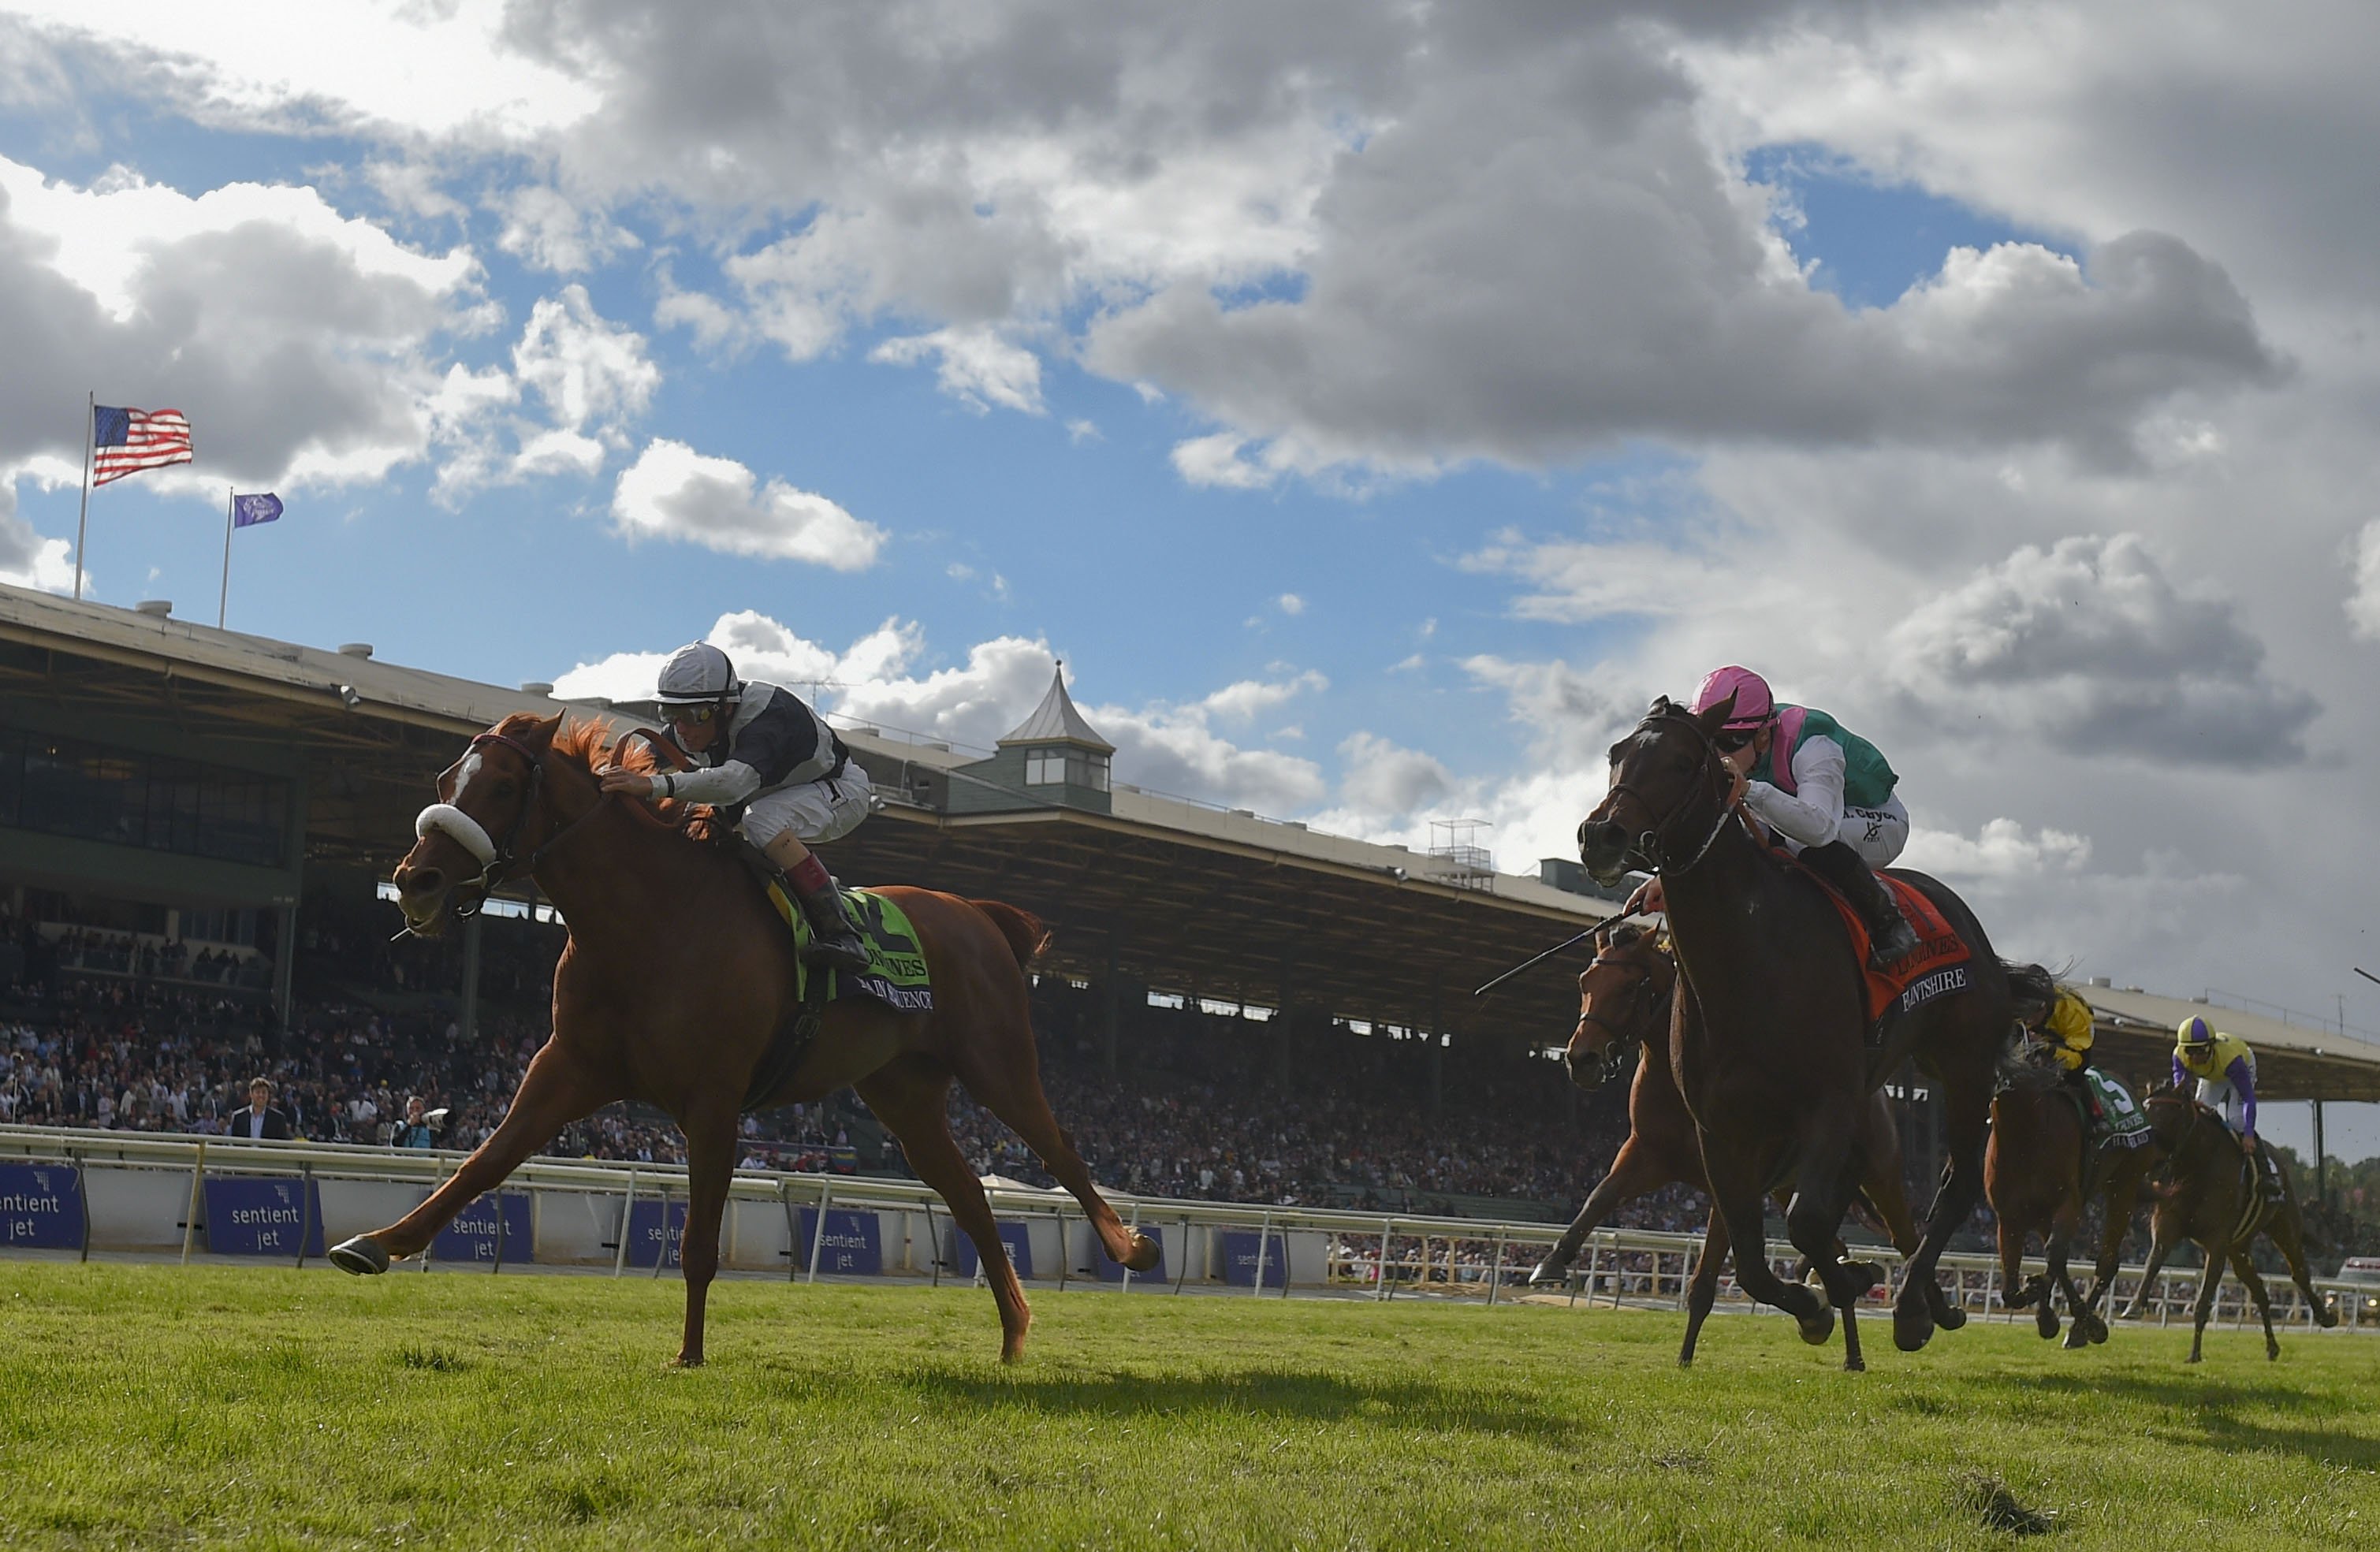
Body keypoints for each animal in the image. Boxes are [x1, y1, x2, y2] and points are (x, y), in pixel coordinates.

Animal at [328, 709, 1161, 1361]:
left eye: (502, 787)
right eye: (445, 781)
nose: (416, 882)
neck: (650, 918)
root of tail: (979, 913)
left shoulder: (714, 1099)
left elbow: (699, 1240)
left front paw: (690, 1352)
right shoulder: (568, 1067)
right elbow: (483, 1162)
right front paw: (374, 1243)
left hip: (999, 1062)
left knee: (1060, 1150)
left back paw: (1130, 1247)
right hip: (905, 1097)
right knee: (970, 1199)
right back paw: (1014, 1334)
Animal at [1523, 923, 1932, 1333]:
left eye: (1627, 986)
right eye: (1585, 982)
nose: (1581, 1059)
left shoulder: (1733, 1173)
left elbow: (1716, 1277)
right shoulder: (1647, 1153)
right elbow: (1600, 1196)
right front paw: (1552, 1261)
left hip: (1880, 1171)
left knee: (1906, 1238)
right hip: (1789, 1187)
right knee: (1835, 1246)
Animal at [1580, 694, 2028, 1361]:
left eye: (1684, 761)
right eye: (1615, 753)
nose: (1599, 836)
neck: (1747, 957)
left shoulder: (1830, 1104)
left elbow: (1805, 1222)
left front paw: (1848, 1287)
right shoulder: (1720, 1131)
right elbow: (1748, 1254)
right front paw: (1818, 1301)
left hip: (1964, 1063)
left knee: (1954, 1184)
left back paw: (1911, 1304)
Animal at [2113, 1090, 2332, 1361]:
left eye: (2172, 1115)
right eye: (2146, 1110)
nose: (2145, 1154)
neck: (2196, 1167)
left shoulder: (2216, 1243)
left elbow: (2204, 1300)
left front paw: (2194, 1353)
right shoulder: (2168, 1225)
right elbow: (2153, 1261)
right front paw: (2134, 1305)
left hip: (2283, 1223)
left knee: (2299, 1271)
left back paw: (2325, 1316)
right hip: (2238, 1248)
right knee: (2260, 1291)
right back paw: (2272, 1347)